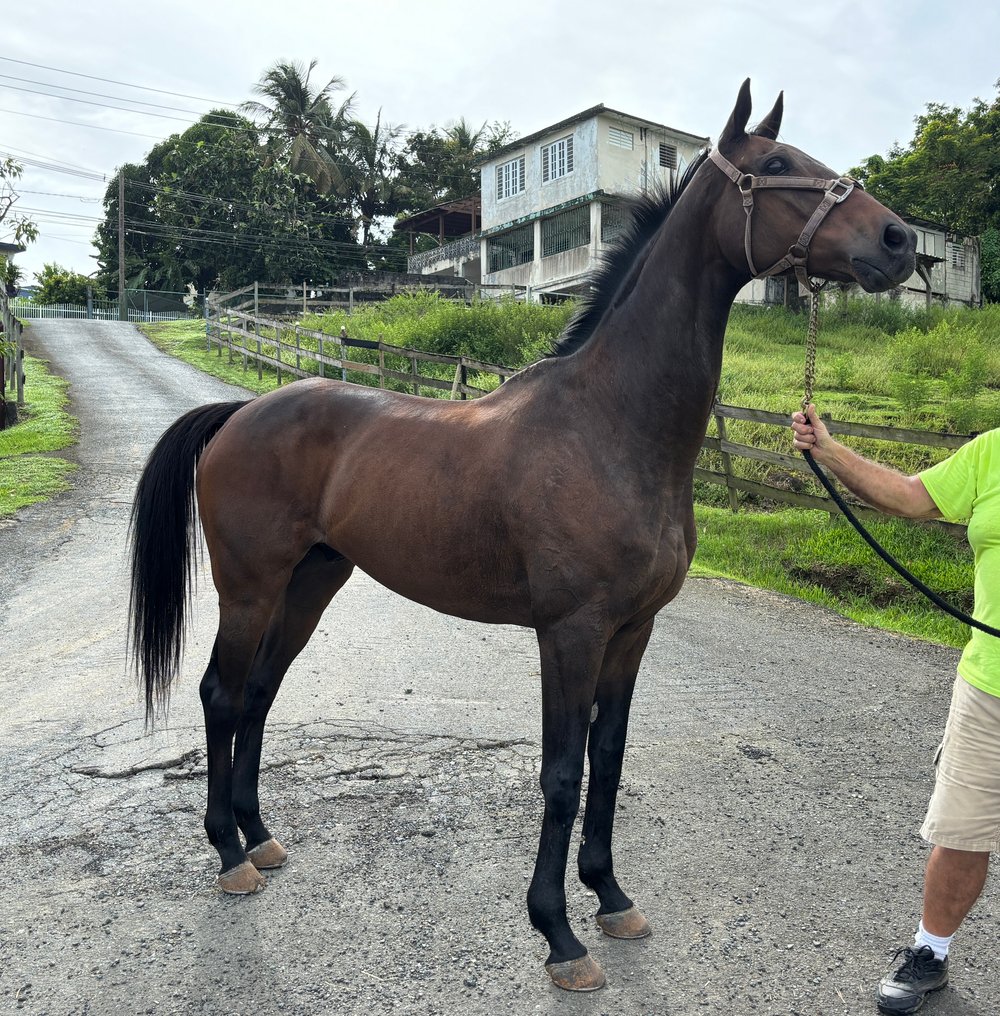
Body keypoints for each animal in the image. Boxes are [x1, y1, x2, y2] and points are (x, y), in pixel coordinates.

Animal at [129, 81, 918, 991]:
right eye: (780, 163)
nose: (900, 241)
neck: (610, 424)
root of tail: (237, 413)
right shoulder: (569, 633)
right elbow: (562, 774)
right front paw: (559, 933)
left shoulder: (632, 632)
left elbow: (609, 761)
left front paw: (611, 897)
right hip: (250, 588)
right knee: (221, 696)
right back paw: (228, 855)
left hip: (311, 584)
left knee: (258, 694)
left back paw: (260, 838)